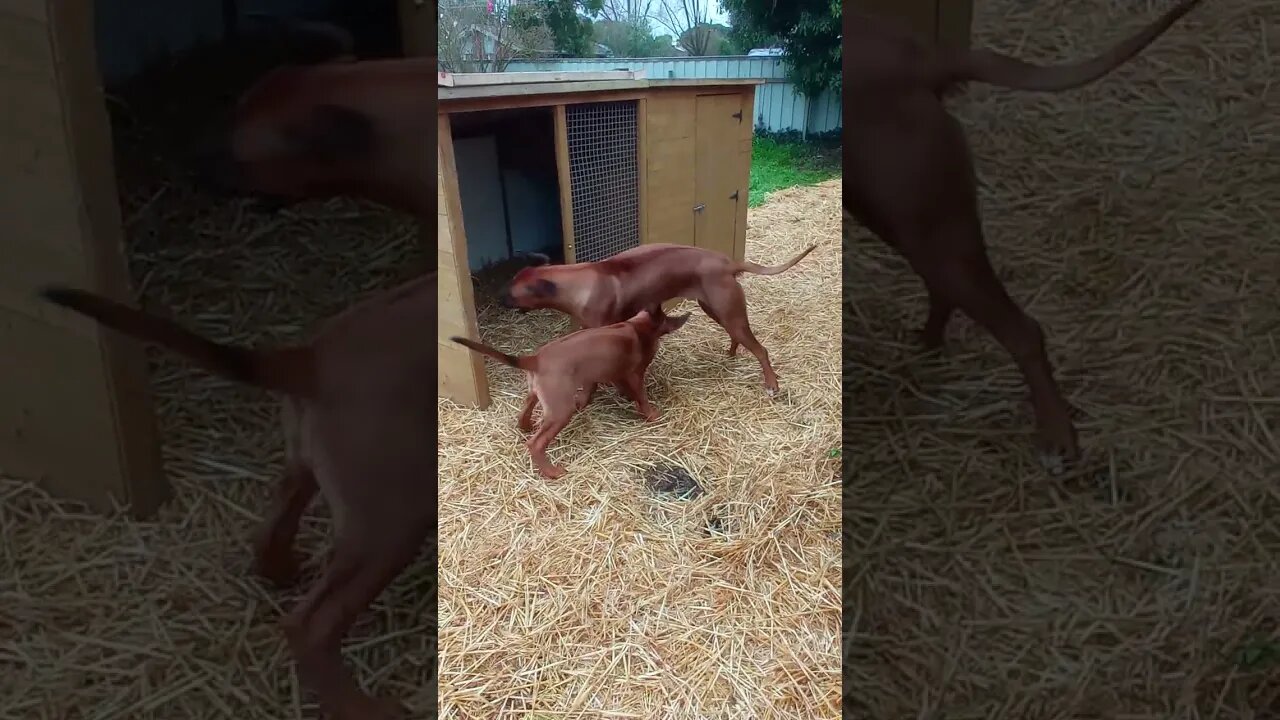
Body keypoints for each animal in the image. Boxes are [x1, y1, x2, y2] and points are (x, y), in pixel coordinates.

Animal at [37, 272, 437, 717]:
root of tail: (313, 357)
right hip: (395, 518)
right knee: (309, 626)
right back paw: (364, 709)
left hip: (317, 473)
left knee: (269, 531)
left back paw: (280, 571)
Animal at [450, 307, 691, 476]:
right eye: (667, 319)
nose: (681, 318)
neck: (636, 327)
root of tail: (536, 359)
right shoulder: (634, 374)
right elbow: (641, 396)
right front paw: (651, 414)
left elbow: (595, 387)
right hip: (561, 411)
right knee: (536, 444)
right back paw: (552, 472)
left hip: (536, 394)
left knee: (523, 414)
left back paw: (527, 427)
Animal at [496, 243, 808, 394]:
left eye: (512, 292)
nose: (498, 299)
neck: (578, 281)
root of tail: (728, 262)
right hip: (718, 310)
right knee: (736, 336)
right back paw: (731, 354)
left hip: (728, 311)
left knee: (760, 349)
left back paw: (771, 384)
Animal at [844, 0, 1203, 468]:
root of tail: (922, 59)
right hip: (908, 220)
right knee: (948, 292)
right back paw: (927, 345)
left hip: (923, 226)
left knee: (1023, 331)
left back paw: (1056, 435)